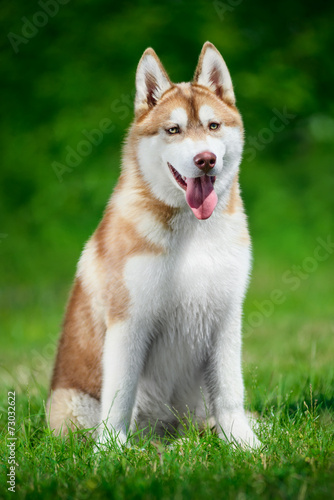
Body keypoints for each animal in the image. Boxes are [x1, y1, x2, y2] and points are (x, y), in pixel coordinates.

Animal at [47, 43, 260, 450]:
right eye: (173, 130)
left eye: (213, 125)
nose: (205, 160)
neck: (194, 233)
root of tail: (170, 431)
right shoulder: (129, 320)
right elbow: (119, 397)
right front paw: (111, 452)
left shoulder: (226, 316)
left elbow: (230, 391)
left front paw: (245, 444)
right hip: (70, 403)